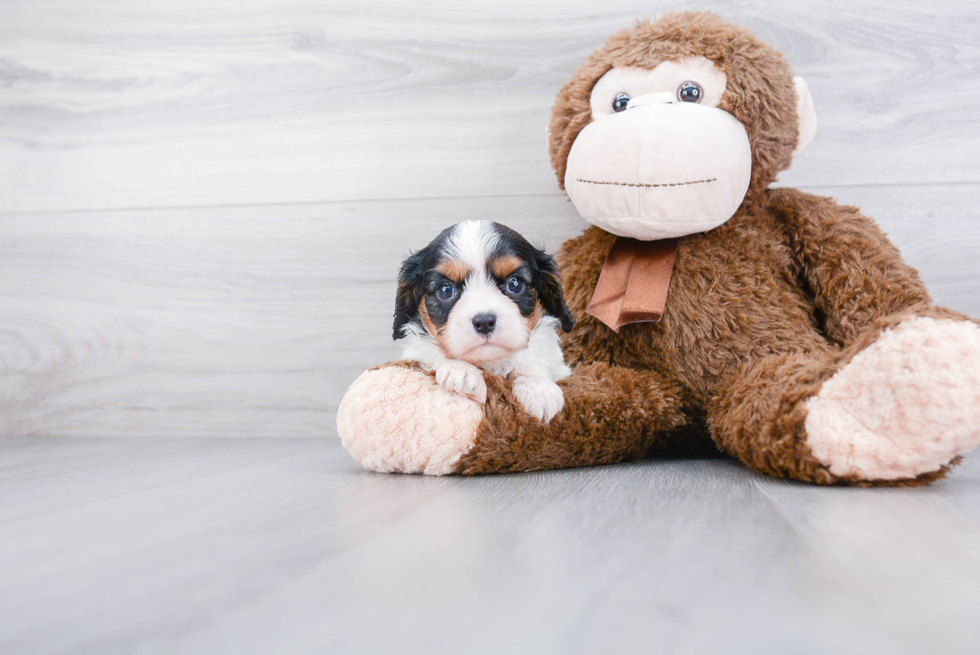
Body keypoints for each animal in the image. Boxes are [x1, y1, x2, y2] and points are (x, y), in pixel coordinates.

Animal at [390, 223, 576, 422]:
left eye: (515, 284)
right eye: (445, 290)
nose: (485, 322)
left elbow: (532, 357)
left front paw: (537, 388)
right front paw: (460, 370)